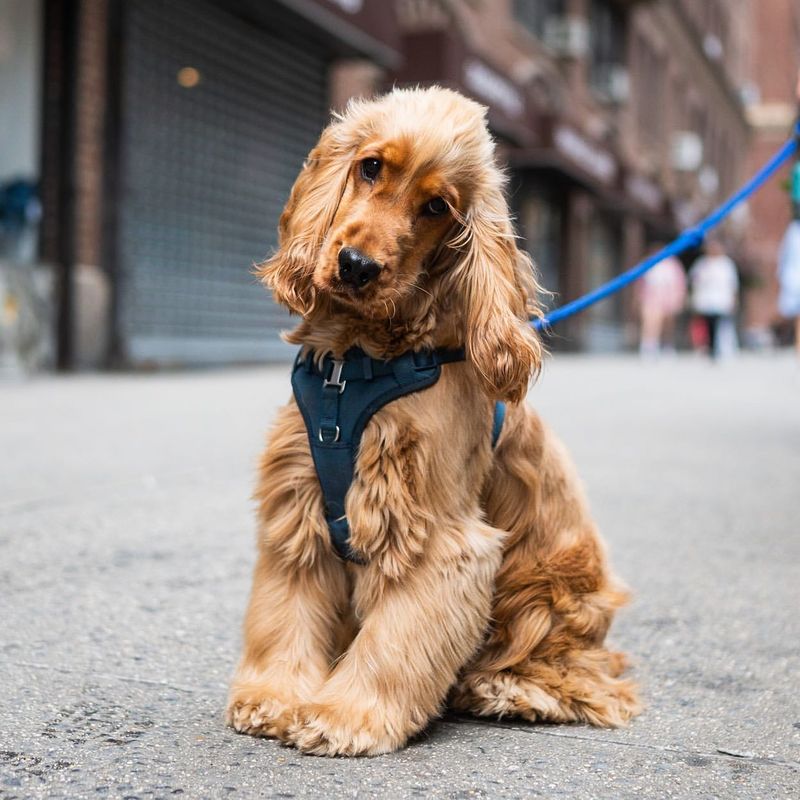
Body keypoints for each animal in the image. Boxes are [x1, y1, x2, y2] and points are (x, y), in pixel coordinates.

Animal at [228, 87, 640, 756]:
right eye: (371, 167)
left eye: (437, 206)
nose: (356, 265)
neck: (356, 365)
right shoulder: (300, 511)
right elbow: (286, 613)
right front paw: (273, 698)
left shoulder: (434, 534)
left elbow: (396, 640)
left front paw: (344, 715)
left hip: (550, 590)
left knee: (587, 675)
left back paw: (507, 688)